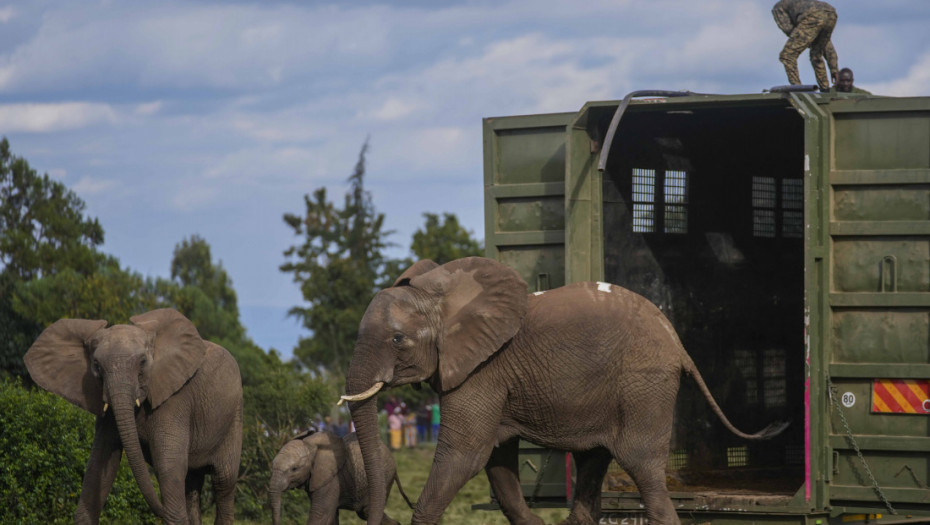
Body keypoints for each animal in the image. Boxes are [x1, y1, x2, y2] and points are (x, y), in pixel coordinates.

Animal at [24, 308, 243, 524]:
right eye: (96, 365)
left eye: (143, 362)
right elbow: (100, 462)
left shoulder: (175, 400)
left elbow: (169, 465)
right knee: (192, 483)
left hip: (234, 418)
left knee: (223, 481)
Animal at [268, 430, 414, 524]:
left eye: (294, 469)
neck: (310, 445)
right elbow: (331, 516)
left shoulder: (332, 479)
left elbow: (320, 514)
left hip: (385, 475)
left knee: (366, 510)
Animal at [340, 258, 784, 524]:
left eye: (397, 339)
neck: (442, 295)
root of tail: (676, 341)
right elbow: (497, 458)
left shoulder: (482, 369)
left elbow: (465, 453)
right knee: (594, 460)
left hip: (644, 383)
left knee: (642, 465)